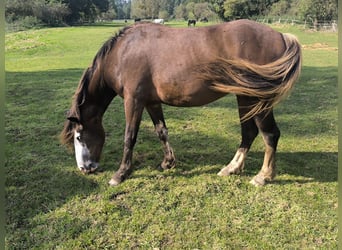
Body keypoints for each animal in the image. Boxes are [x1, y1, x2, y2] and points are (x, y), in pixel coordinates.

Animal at [60, 19, 300, 187]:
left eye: (79, 136)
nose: (85, 168)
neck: (123, 53)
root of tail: (280, 35)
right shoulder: (151, 102)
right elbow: (162, 131)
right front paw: (168, 162)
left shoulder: (134, 101)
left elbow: (130, 137)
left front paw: (121, 173)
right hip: (245, 98)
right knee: (249, 132)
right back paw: (232, 168)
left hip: (258, 100)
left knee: (270, 134)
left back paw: (263, 176)